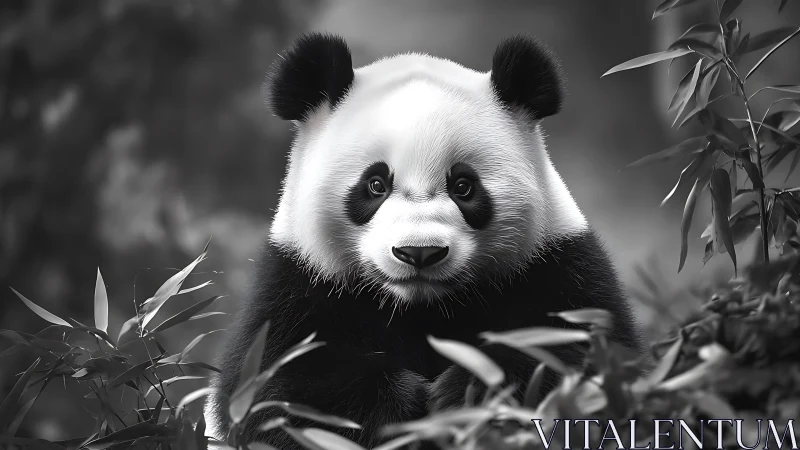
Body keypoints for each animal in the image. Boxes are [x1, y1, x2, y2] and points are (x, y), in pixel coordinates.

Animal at [205, 32, 641, 448]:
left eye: (464, 186)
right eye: (375, 184)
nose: (419, 252)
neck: (422, 306)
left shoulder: (555, 267)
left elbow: (585, 359)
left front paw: (467, 393)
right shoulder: (298, 283)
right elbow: (275, 393)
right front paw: (401, 402)